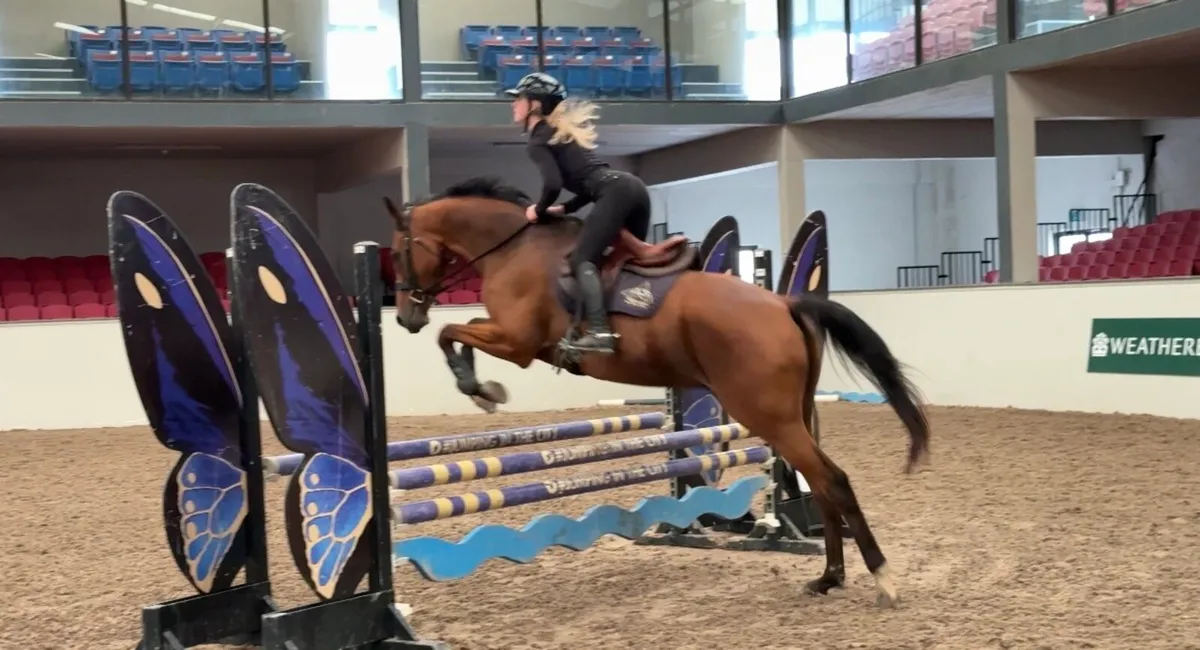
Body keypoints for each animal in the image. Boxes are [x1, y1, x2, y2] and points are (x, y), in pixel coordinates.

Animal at [383, 176, 929, 608]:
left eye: (401, 250)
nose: (407, 317)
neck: (511, 248)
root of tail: (785, 303)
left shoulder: (516, 342)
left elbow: (451, 333)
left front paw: (477, 387)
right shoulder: (512, 339)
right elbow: (456, 333)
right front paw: (481, 387)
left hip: (768, 415)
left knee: (831, 480)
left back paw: (880, 579)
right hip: (792, 412)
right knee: (820, 482)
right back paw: (827, 578)